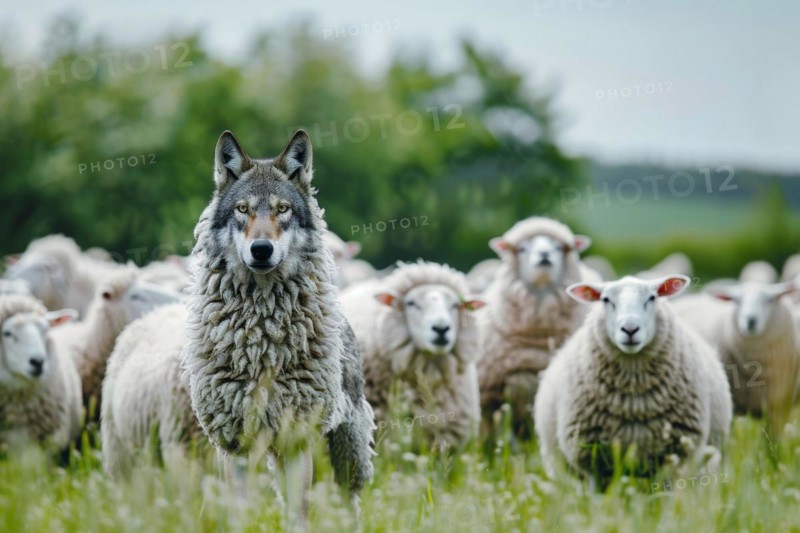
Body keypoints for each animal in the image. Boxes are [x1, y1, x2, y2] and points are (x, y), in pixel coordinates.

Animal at [181, 129, 375, 526]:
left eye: (282, 209)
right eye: (243, 210)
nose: (261, 249)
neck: (262, 339)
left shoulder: (296, 442)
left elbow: (298, 518)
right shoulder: (234, 444)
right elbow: (239, 517)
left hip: (348, 447)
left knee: (350, 503)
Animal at [534, 275, 732, 488]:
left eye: (652, 298)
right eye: (605, 300)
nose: (630, 329)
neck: (634, 399)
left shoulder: (674, 457)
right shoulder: (592, 460)